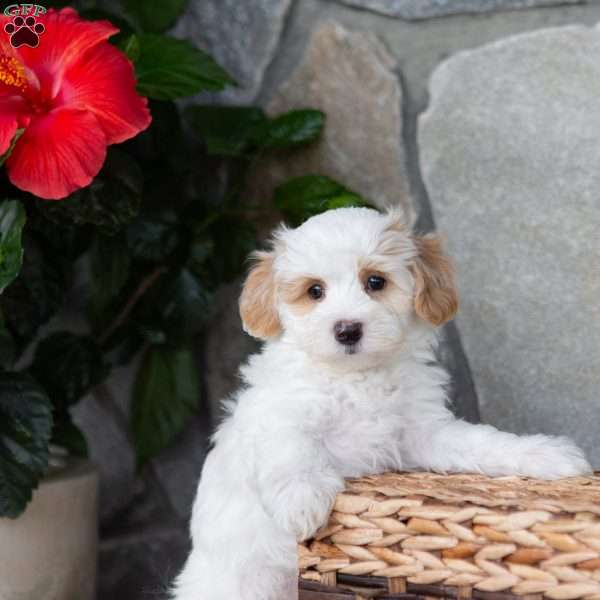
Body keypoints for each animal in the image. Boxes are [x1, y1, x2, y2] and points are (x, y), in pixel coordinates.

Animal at [170, 207, 592, 600]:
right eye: (314, 291)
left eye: (375, 282)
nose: (347, 330)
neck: (357, 376)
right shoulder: (281, 410)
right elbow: (292, 445)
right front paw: (301, 501)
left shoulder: (422, 431)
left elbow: (481, 442)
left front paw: (544, 454)